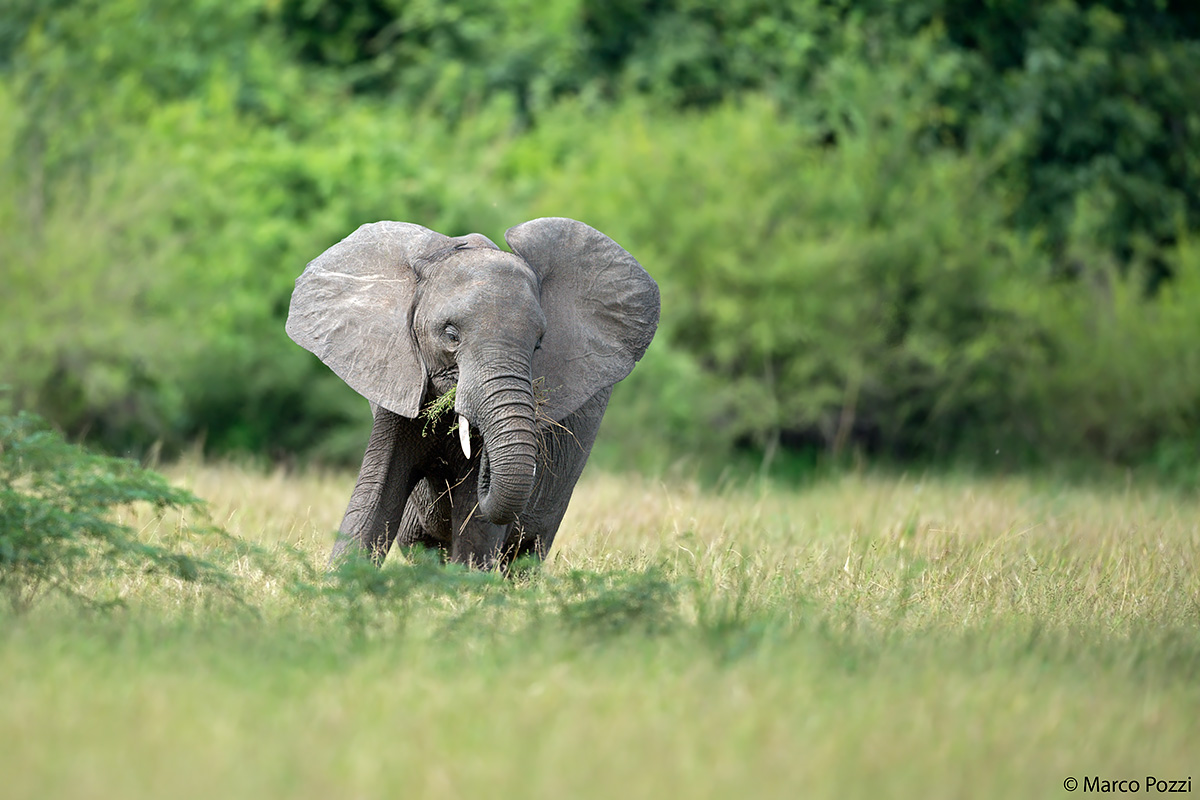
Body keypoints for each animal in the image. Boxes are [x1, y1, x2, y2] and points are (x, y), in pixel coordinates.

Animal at [286, 217, 659, 569]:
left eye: (538, 344)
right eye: (451, 335)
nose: (487, 466)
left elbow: (475, 520)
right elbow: (374, 495)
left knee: (527, 551)